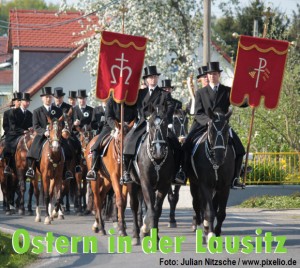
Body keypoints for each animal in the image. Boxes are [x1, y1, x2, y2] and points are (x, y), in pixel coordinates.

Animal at [127, 104, 175, 245]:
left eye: (165, 124)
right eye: (151, 124)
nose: (158, 150)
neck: (157, 161)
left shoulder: (164, 185)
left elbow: (156, 210)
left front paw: (155, 235)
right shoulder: (146, 184)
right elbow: (151, 210)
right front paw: (146, 230)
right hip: (132, 184)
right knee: (134, 206)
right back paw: (135, 235)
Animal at [188, 108, 234, 241]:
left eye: (226, 130)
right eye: (212, 131)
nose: (219, 157)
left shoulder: (224, 187)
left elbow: (221, 212)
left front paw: (216, 232)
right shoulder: (205, 185)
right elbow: (209, 211)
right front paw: (210, 234)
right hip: (194, 185)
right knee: (197, 205)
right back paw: (200, 228)